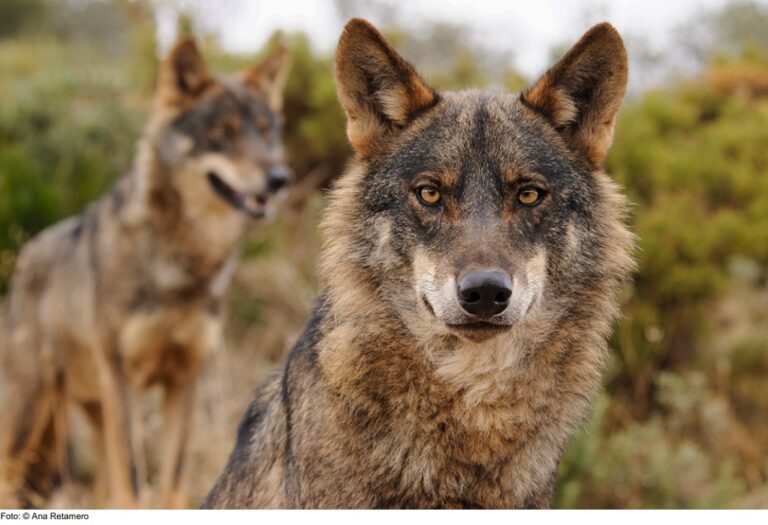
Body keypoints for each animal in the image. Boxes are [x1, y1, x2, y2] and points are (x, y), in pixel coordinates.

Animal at [0, 37, 291, 508]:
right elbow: (134, 481)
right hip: (33, 411)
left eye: (265, 131)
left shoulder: (184, 380)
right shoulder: (125, 382)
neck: (181, 266)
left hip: (90, 412)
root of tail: (25, 253)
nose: (280, 178)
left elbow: (172, 479)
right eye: (222, 133)